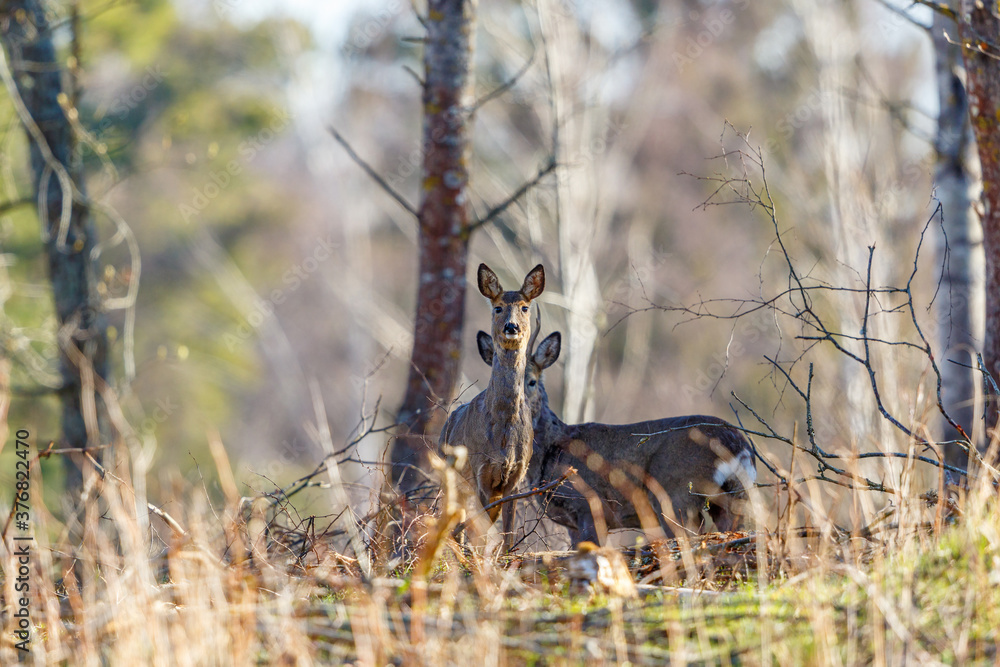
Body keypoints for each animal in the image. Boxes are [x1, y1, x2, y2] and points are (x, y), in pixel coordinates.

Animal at [440, 264, 548, 552]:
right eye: (498, 307)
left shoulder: (516, 477)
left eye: (524, 307)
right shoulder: (481, 470)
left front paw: (506, 556)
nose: (511, 326)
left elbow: (507, 530)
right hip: (449, 475)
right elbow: (482, 529)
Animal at [474, 330, 752, 548]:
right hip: (733, 495)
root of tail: (737, 444)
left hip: (677, 494)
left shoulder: (587, 505)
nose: (514, 407)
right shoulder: (571, 523)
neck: (552, 448)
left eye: (531, 381)